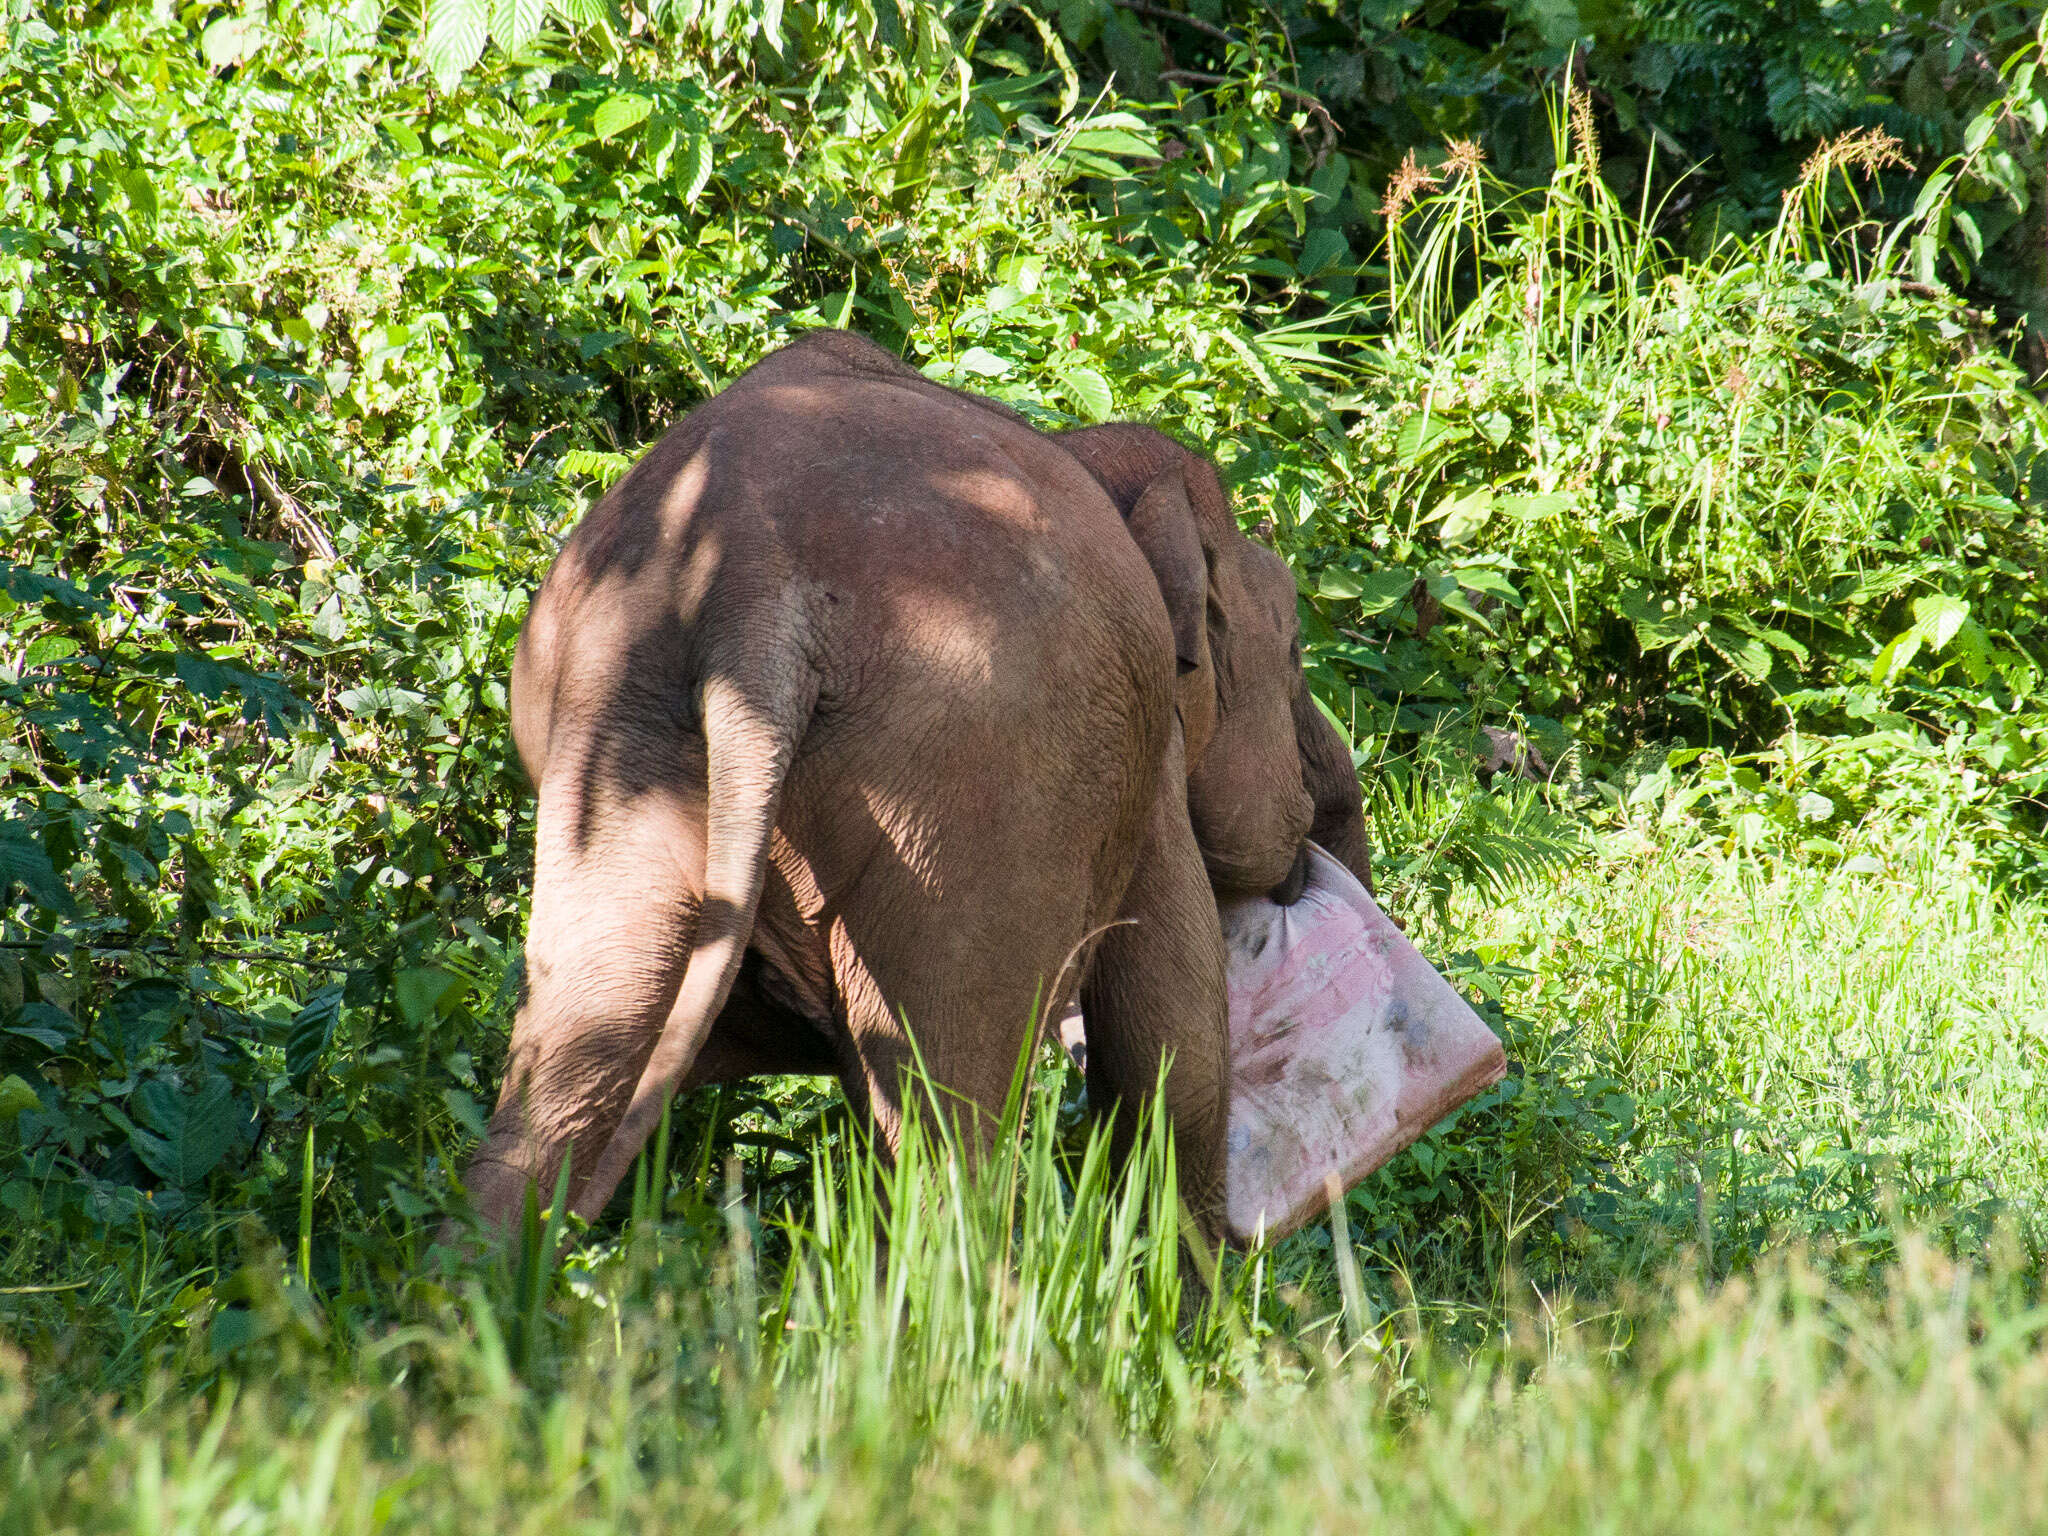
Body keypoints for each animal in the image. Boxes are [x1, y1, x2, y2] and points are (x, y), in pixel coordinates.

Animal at [456, 327, 1368, 1253]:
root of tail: (750, 597)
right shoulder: (1147, 763)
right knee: (950, 1125)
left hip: (617, 733)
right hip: (971, 784)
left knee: (570, 1070)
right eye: (1296, 649)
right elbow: (1174, 1050)